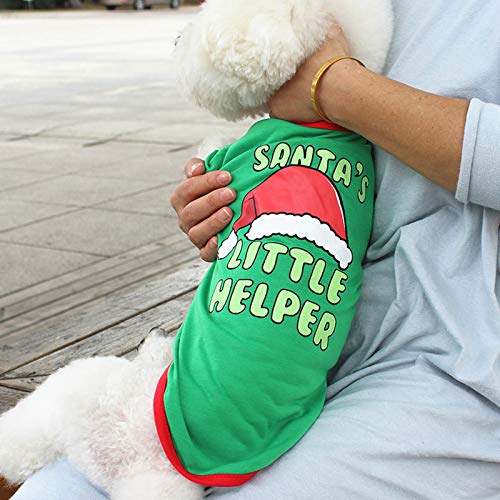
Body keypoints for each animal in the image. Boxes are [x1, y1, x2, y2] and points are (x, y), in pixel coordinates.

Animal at [0, 1, 390, 498]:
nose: (175, 39)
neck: (322, 122)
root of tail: (138, 461)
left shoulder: (230, 158)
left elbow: (212, 151)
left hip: (79, 389)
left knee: (28, 431)